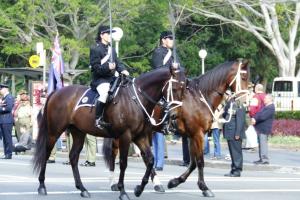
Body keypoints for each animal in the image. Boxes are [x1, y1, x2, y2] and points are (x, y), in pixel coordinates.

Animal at [31, 67, 184, 200]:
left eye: (185, 88)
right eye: (175, 89)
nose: (174, 118)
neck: (136, 100)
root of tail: (56, 92)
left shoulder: (140, 137)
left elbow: (150, 159)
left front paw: (139, 189)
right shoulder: (125, 136)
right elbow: (123, 162)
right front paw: (122, 191)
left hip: (78, 132)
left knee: (73, 157)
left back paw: (82, 188)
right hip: (54, 132)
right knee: (46, 153)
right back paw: (42, 186)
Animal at [103, 59, 248, 197]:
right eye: (244, 77)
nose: (245, 102)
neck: (200, 98)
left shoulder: (192, 136)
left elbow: (193, 162)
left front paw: (175, 182)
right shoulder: (197, 134)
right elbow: (200, 161)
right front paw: (204, 187)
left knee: (145, 157)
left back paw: (155, 184)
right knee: (115, 153)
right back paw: (114, 183)